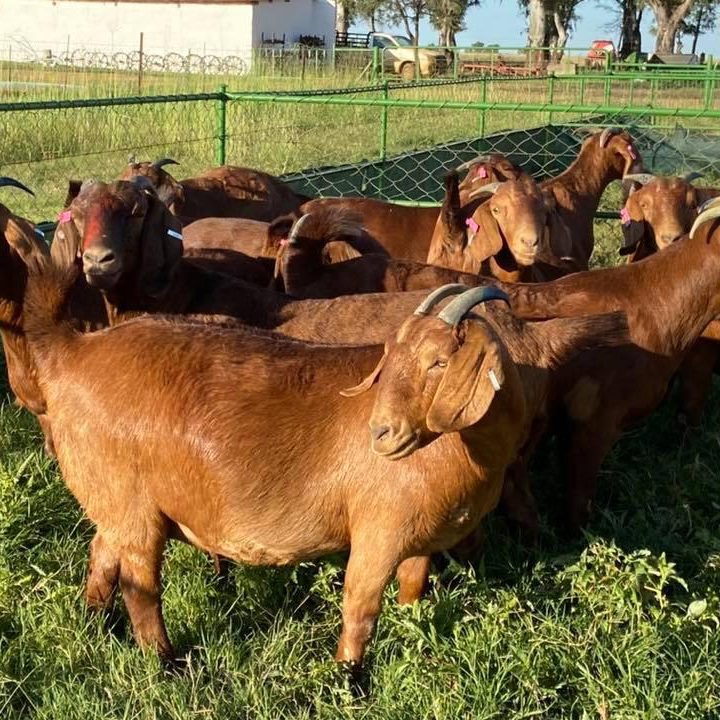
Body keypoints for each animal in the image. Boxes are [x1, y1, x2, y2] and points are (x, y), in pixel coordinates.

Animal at [22, 269, 627, 667]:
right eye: (391, 357)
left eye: (438, 362)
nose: (380, 433)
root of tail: (71, 352)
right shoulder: (378, 532)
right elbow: (360, 605)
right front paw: (350, 677)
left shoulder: (419, 537)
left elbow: (413, 589)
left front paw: (413, 636)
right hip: (135, 508)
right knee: (141, 589)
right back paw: (167, 664)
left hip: (117, 503)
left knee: (102, 560)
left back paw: (93, 625)